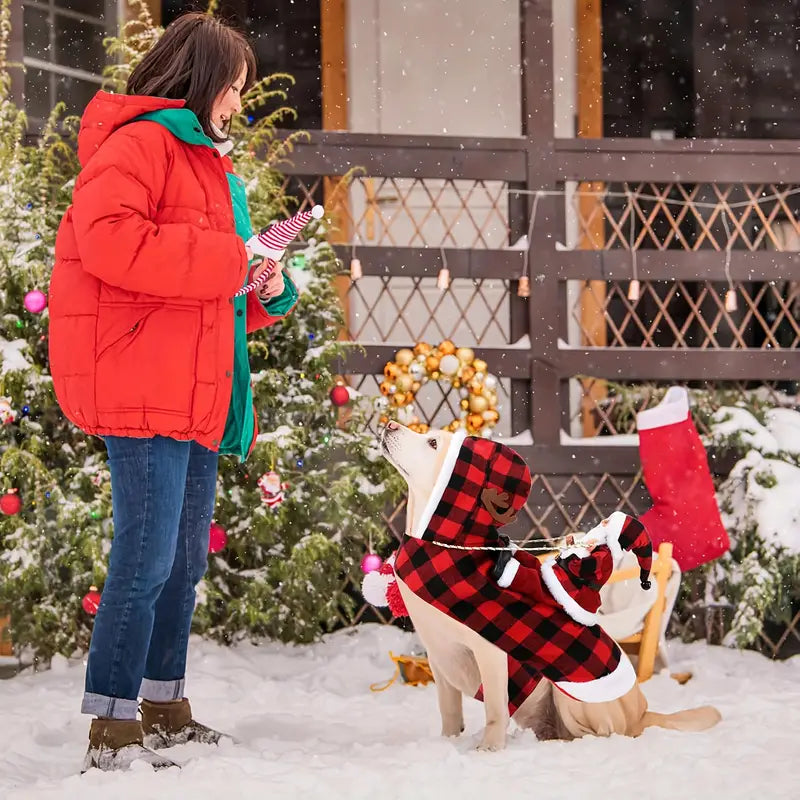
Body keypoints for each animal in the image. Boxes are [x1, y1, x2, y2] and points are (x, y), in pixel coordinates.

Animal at [378, 422, 720, 752]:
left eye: (433, 442)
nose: (389, 423)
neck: (443, 545)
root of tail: (642, 712)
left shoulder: (490, 650)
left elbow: (495, 709)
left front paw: (489, 748)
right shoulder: (439, 654)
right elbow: (449, 711)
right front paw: (448, 742)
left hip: (571, 691)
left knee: (602, 734)